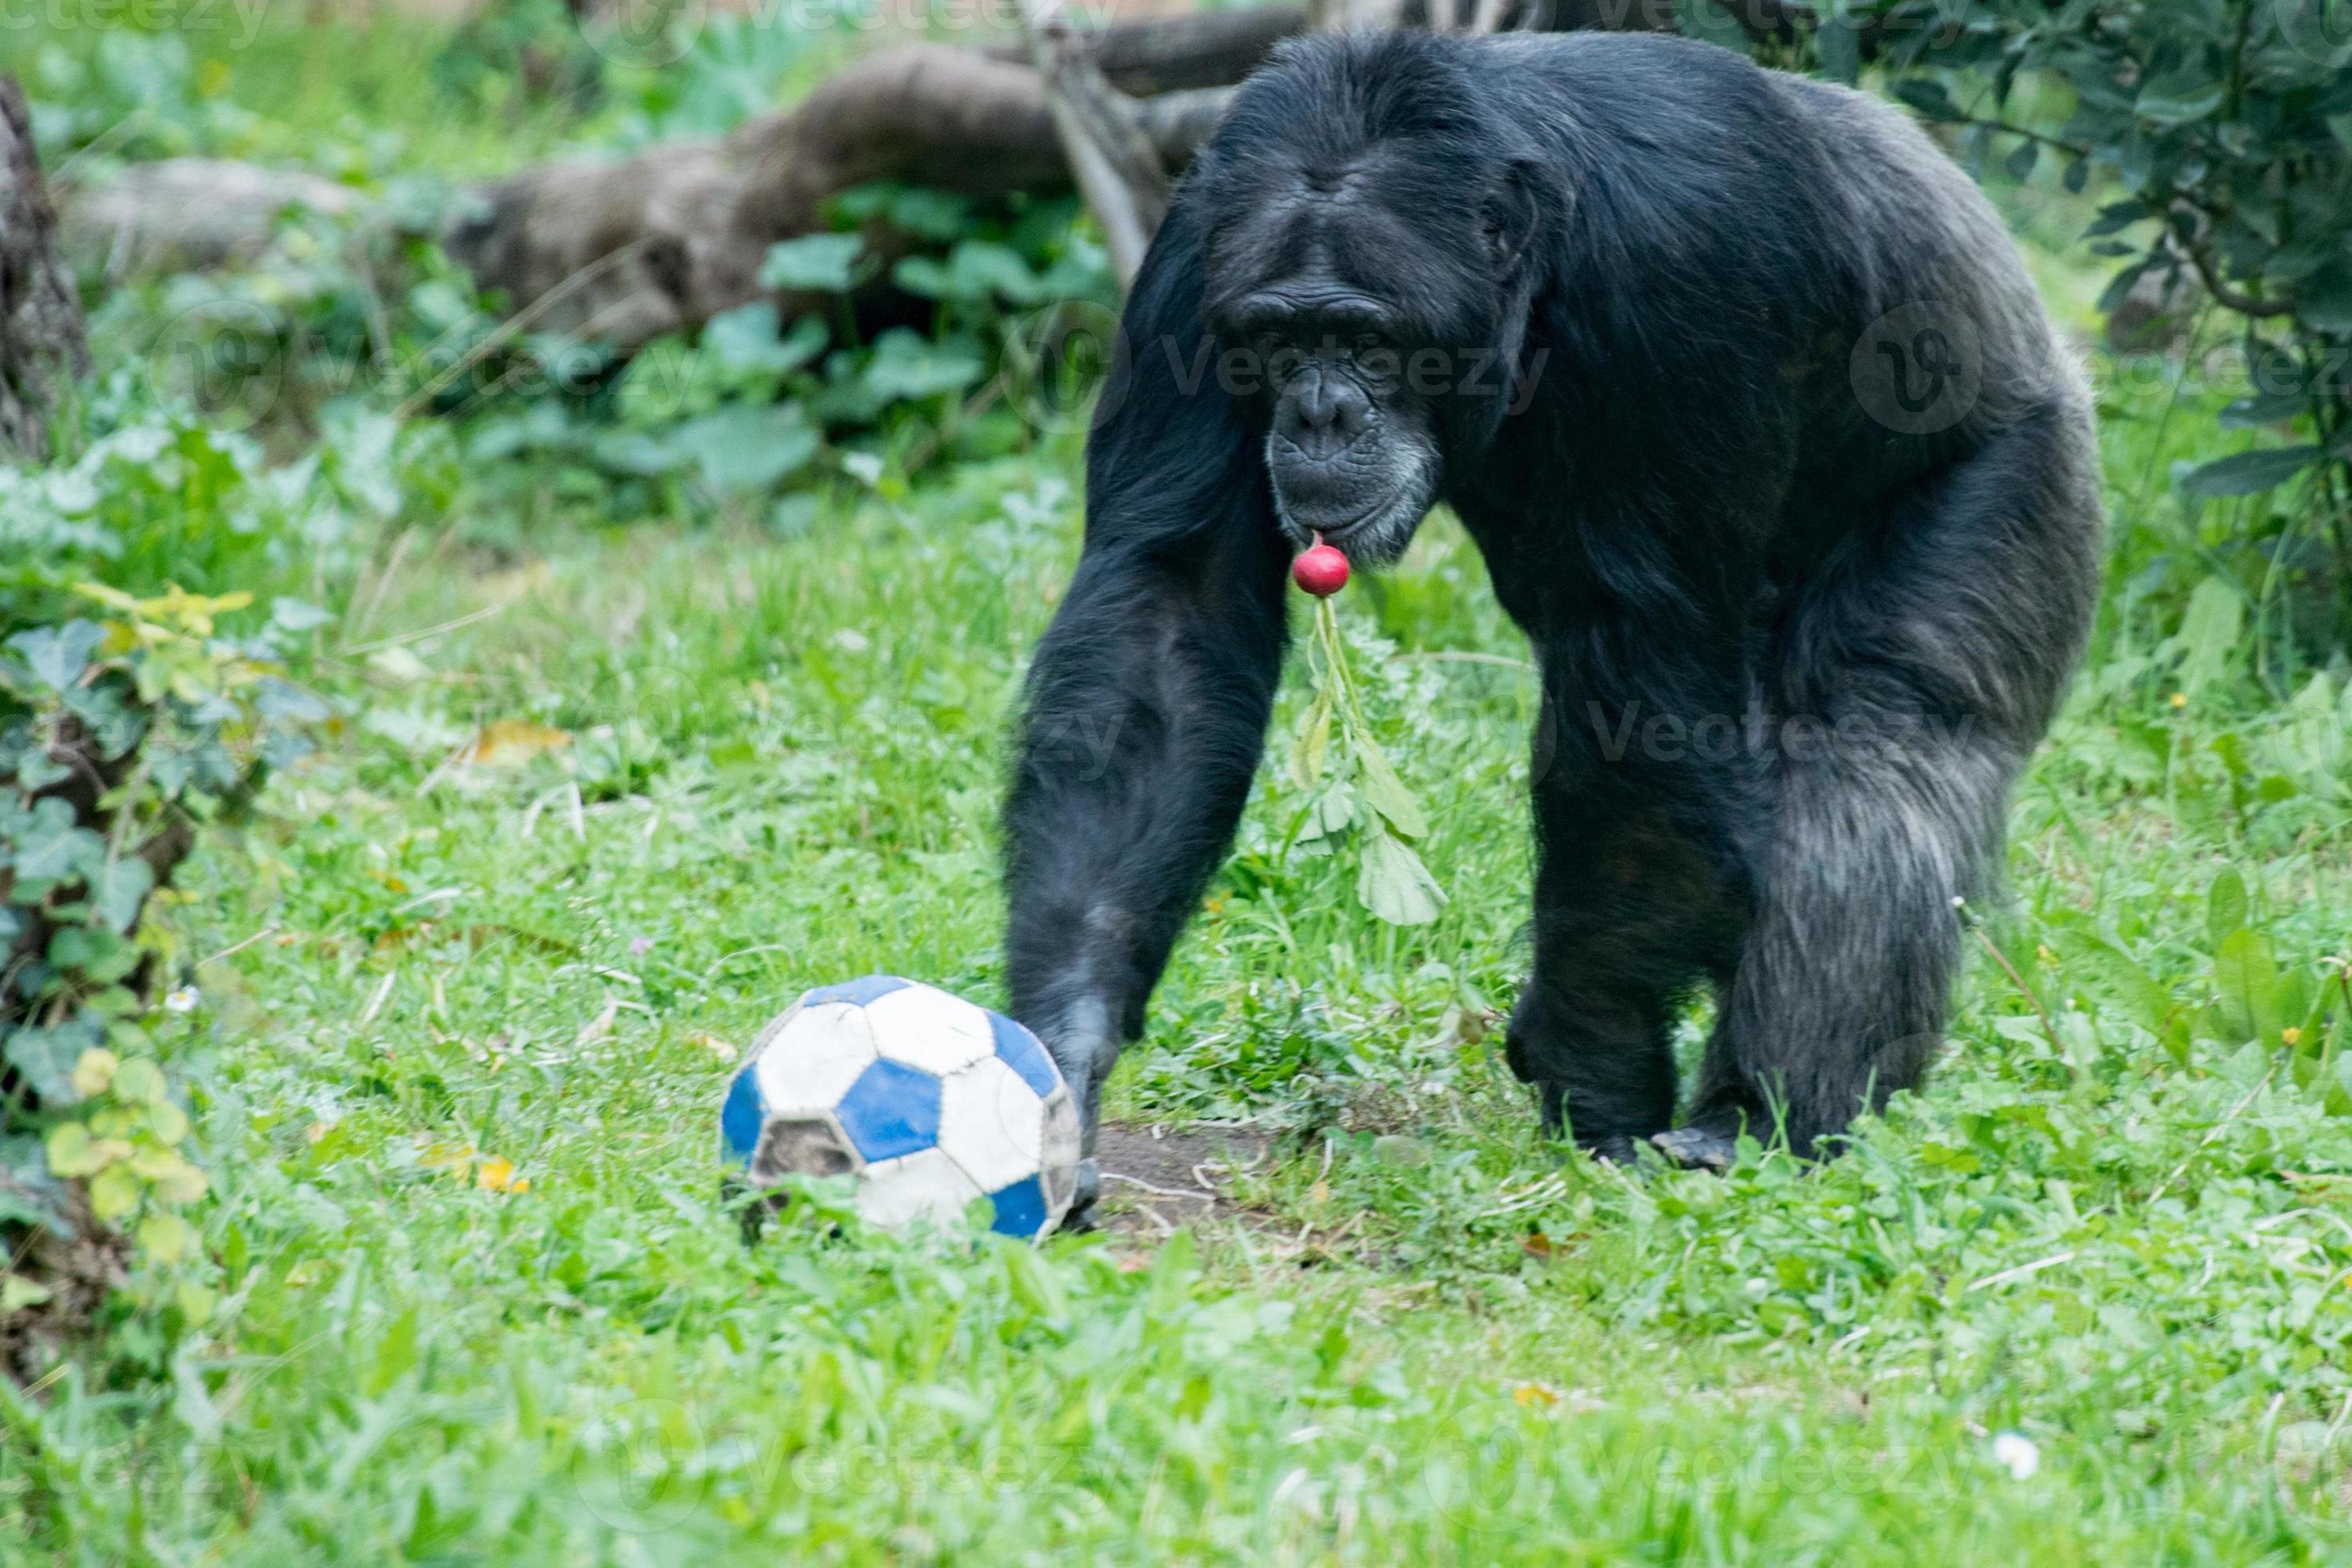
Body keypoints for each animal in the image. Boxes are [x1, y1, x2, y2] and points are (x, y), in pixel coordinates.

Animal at [1002, 30, 2107, 1213]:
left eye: (1362, 338)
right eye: (1276, 338)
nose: (1317, 412)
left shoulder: (1692, 267)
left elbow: (1641, 670)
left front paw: (1595, 1056)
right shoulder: (1189, 262)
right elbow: (1173, 602)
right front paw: (1059, 1058)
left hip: (2020, 468)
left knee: (1879, 744)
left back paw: (1758, 1116)